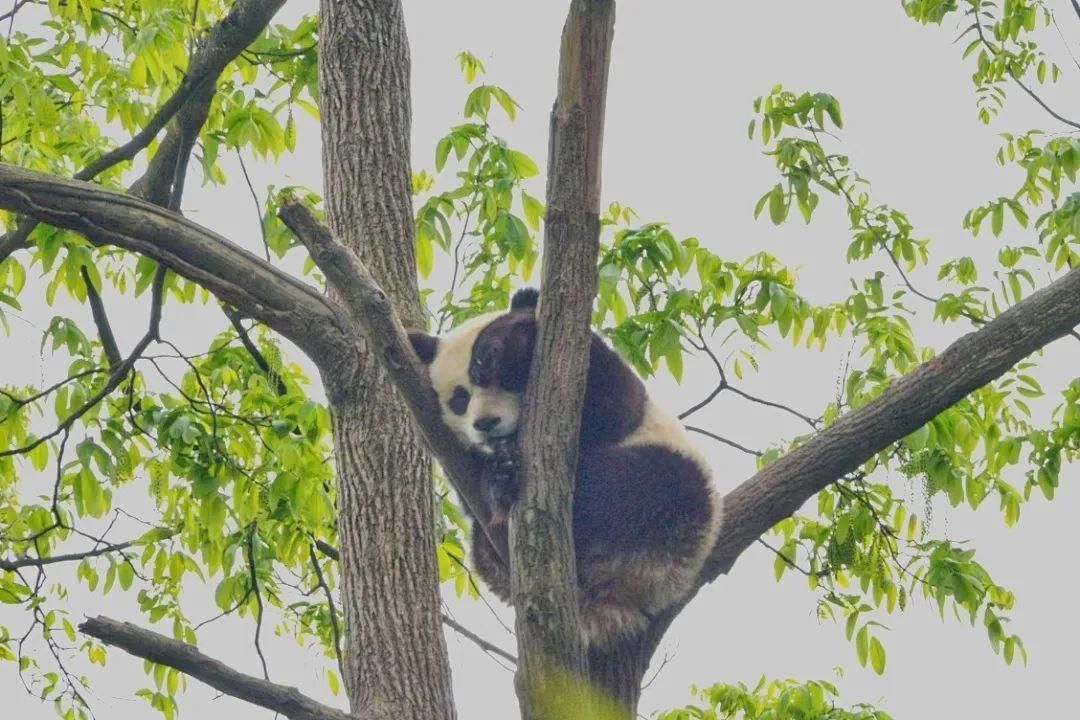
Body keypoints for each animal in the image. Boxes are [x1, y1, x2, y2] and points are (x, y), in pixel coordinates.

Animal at [408, 287, 721, 647]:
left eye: (489, 371)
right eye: (459, 399)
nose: (485, 424)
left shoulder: (593, 371)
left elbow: (612, 407)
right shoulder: (458, 457)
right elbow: (472, 490)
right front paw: (500, 475)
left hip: (677, 492)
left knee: (633, 487)